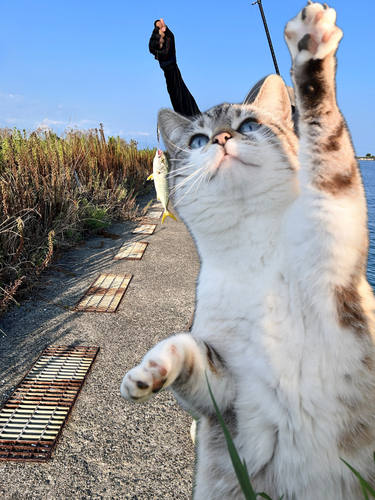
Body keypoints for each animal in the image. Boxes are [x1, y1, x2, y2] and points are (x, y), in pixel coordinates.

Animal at [119, 2, 375, 496]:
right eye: (199, 140)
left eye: (250, 125)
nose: (221, 139)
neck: (251, 246)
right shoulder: (230, 391)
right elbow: (188, 348)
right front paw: (149, 370)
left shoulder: (334, 220)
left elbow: (326, 137)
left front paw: (311, 50)